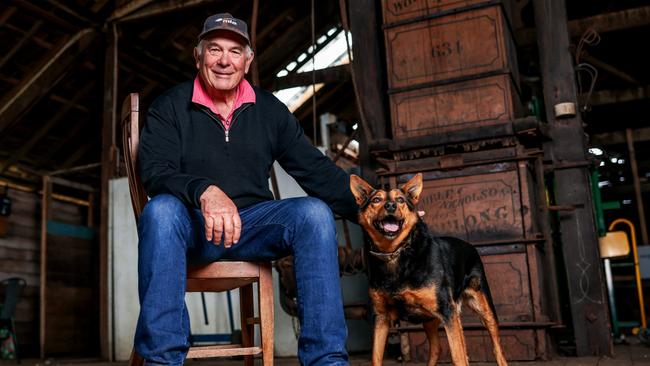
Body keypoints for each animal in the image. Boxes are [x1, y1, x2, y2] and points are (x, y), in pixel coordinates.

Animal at [350, 172, 506, 366]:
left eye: (400, 200)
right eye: (376, 200)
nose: (391, 205)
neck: (395, 253)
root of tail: (468, 245)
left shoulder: (447, 312)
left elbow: (458, 356)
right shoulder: (381, 317)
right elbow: (376, 358)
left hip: (483, 306)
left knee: (496, 347)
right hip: (430, 318)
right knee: (437, 348)